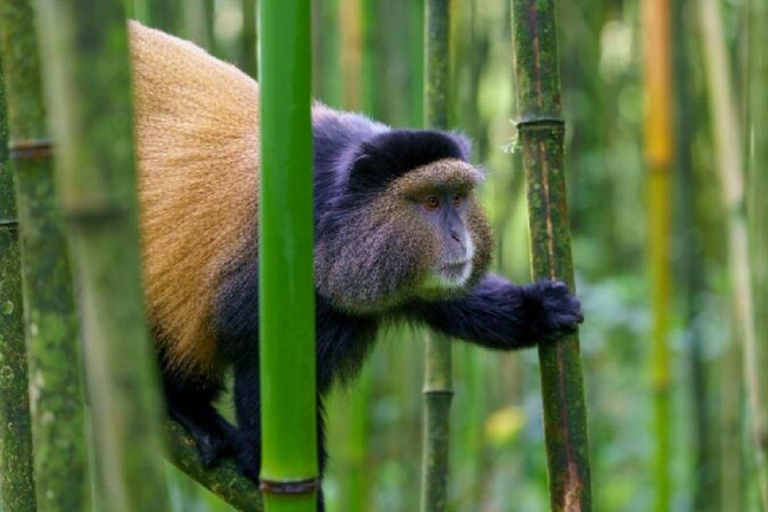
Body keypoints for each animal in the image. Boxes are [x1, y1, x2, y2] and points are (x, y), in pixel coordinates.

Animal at [128, 21, 583, 504]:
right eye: (430, 201)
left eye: (458, 199)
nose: (459, 237)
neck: (337, 210)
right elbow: (266, 375)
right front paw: (275, 479)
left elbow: (447, 300)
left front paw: (540, 308)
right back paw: (188, 409)